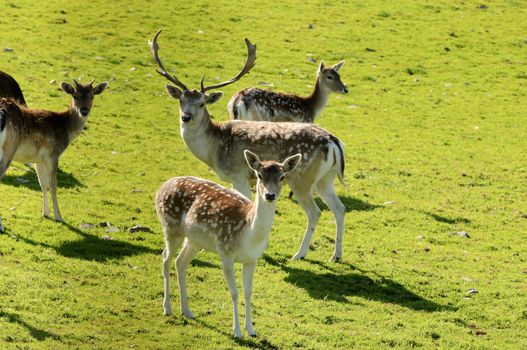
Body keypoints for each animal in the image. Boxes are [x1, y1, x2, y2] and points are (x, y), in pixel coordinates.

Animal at [0, 79, 108, 232]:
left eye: (92, 96)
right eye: (75, 96)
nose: (84, 111)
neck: (66, 129)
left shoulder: (38, 159)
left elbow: (43, 184)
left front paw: (46, 213)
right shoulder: (53, 155)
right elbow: (53, 185)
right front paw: (59, 217)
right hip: (8, 149)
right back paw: (1, 226)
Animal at [148, 30, 346, 262]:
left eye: (202, 103)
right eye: (180, 100)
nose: (186, 117)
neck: (214, 149)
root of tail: (333, 141)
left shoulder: (239, 174)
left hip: (302, 179)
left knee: (315, 212)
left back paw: (299, 254)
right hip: (326, 179)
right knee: (340, 208)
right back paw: (336, 255)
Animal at [157, 149, 302, 338]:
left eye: (282, 176)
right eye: (259, 175)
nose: (270, 195)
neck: (249, 234)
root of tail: (161, 188)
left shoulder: (252, 260)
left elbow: (248, 292)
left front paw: (251, 329)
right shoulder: (225, 253)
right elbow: (234, 292)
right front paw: (237, 331)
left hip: (195, 240)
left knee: (180, 262)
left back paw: (187, 311)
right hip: (170, 226)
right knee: (165, 260)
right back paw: (167, 308)